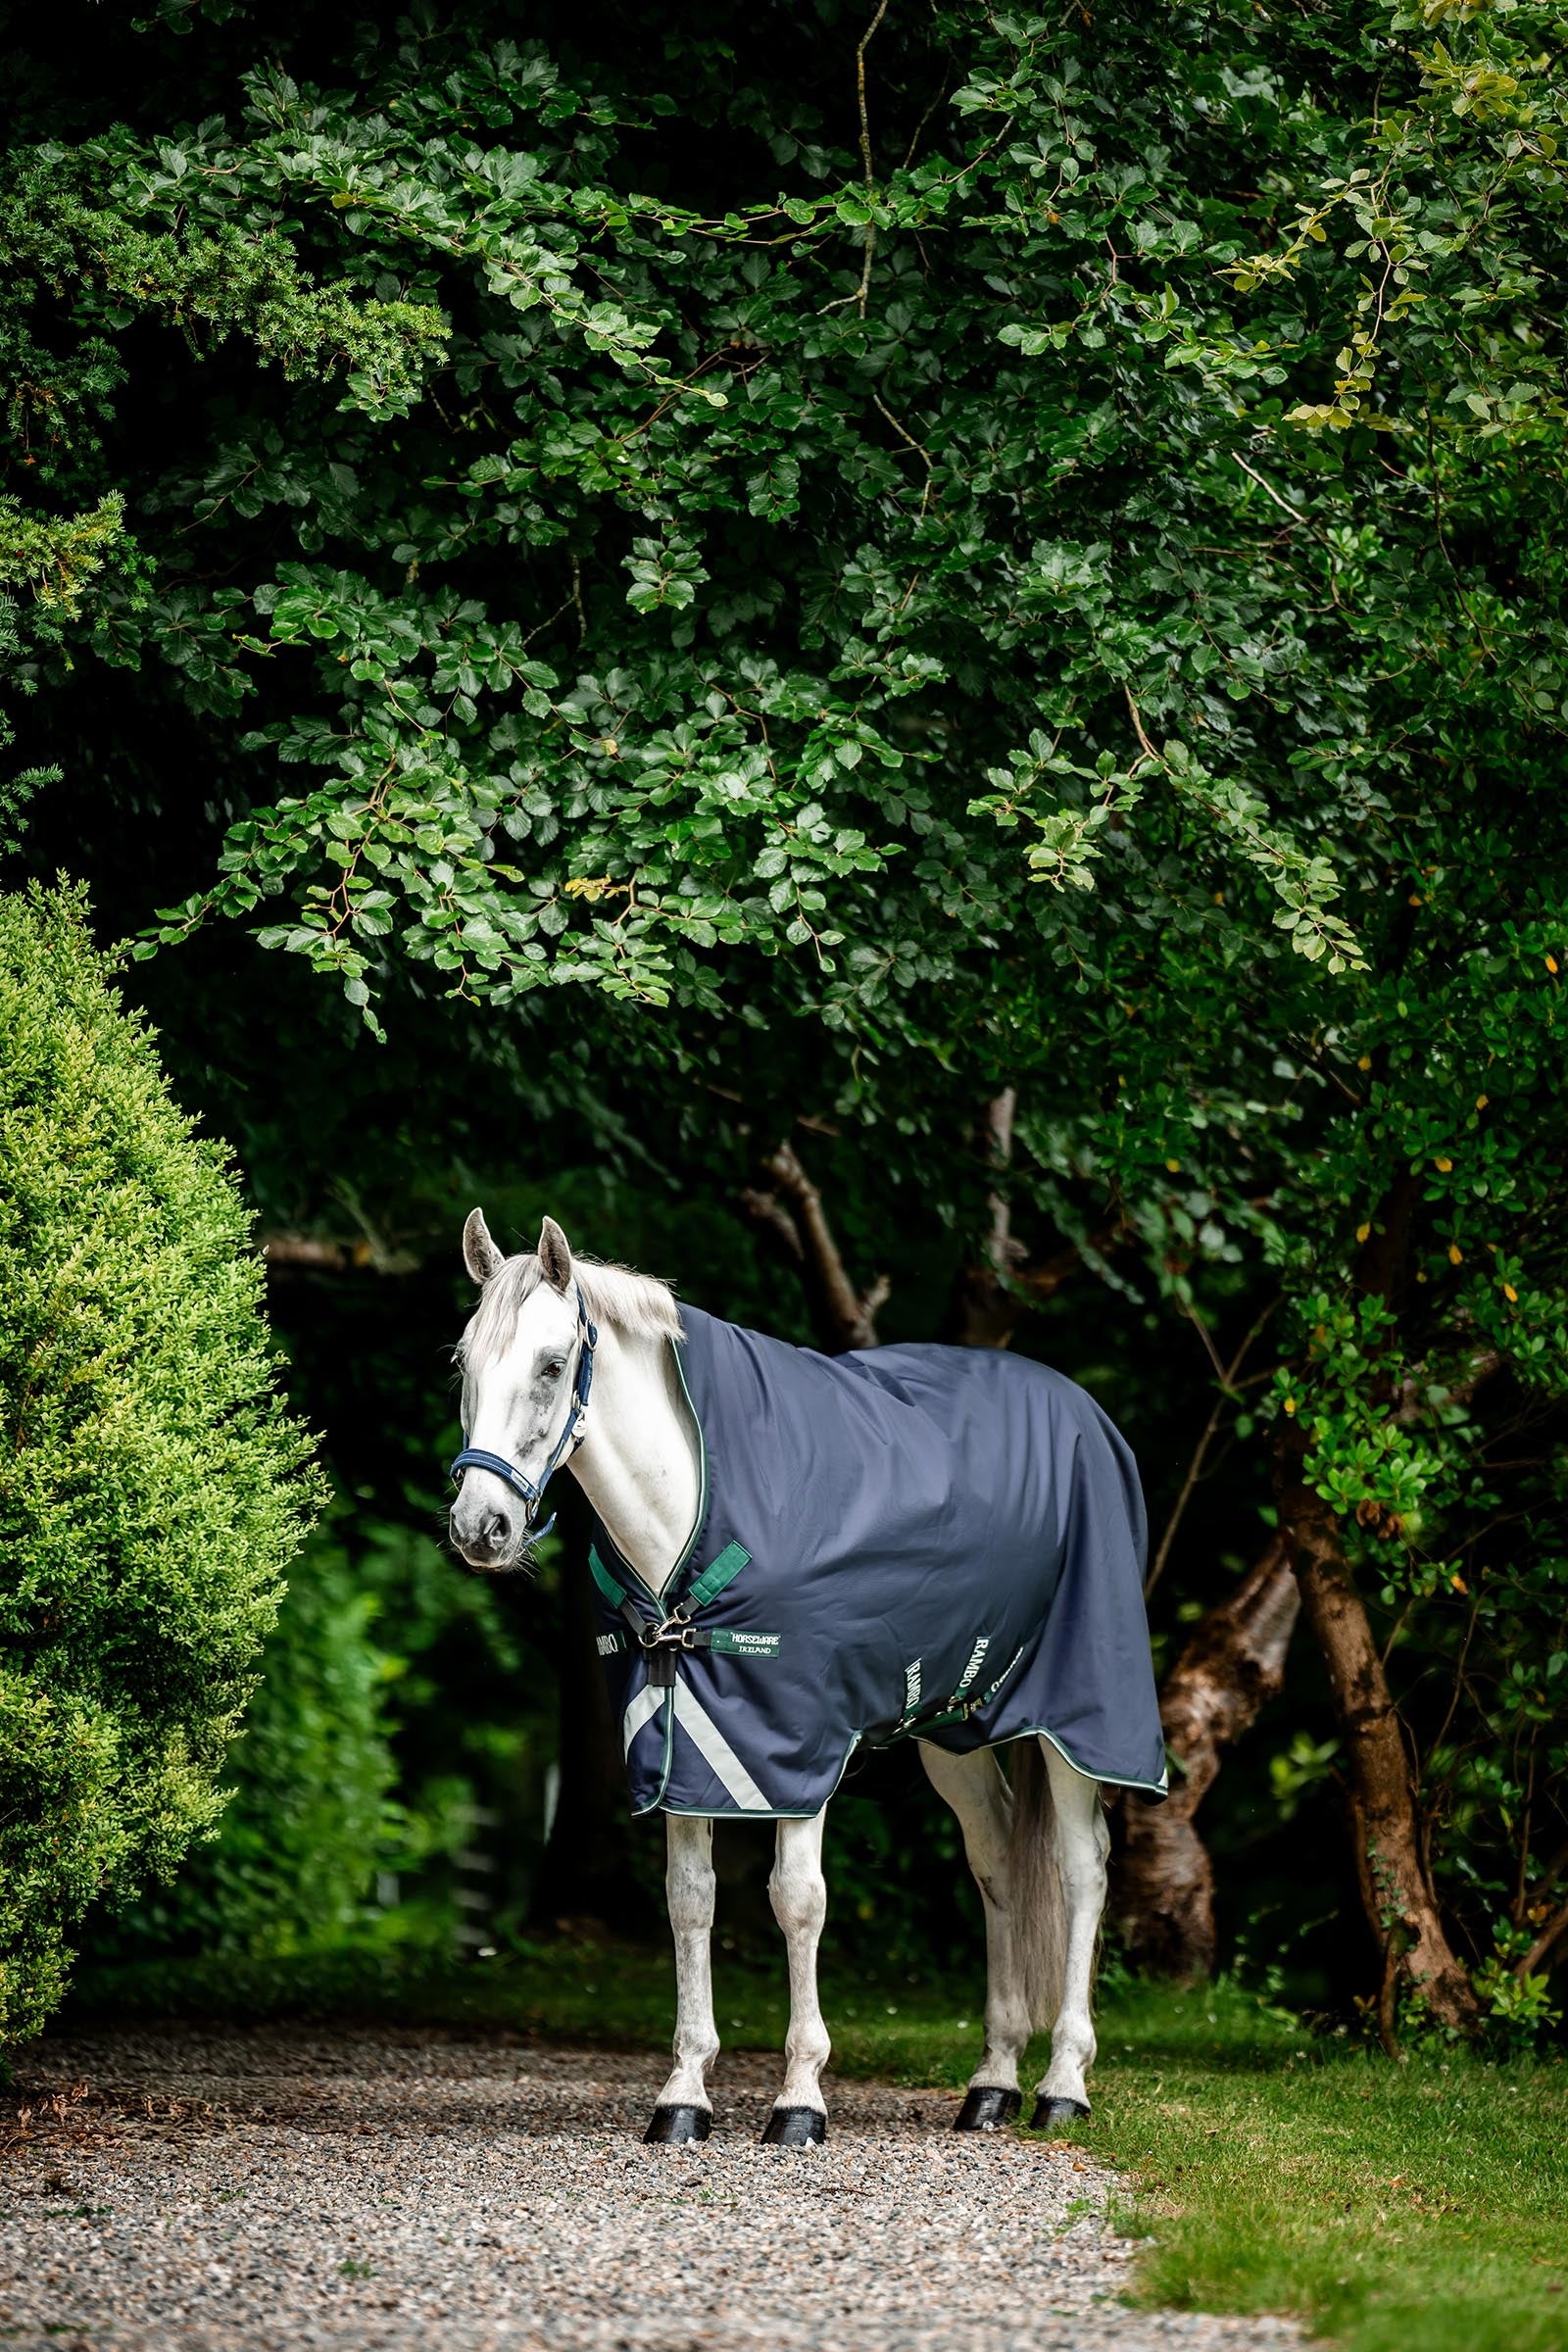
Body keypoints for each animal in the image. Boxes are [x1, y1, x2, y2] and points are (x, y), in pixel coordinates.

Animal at [447, 1210, 1166, 2147]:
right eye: (464, 1361)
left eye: (551, 1364)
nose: (481, 1527)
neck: (694, 1508)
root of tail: (1088, 1414)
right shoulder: (684, 1745)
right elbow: (689, 1901)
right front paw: (683, 2096)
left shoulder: (798, 1747)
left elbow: (796, 1899)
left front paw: (799, 2099)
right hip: (956, 1729)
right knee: (999, 1862)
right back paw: (992, 2083)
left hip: (1075, 1721)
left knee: (1082, 1868)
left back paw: (1063, 2084)